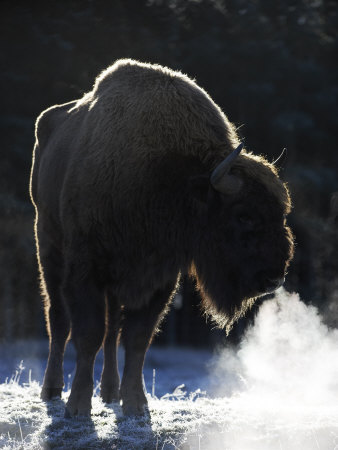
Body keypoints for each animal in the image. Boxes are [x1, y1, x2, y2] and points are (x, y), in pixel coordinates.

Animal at [29, 58, 294, 416]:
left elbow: (136, 339)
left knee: (112, 331)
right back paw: (52, 390)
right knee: (58, 320)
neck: (170, 178)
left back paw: (110, 392)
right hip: (49, 245)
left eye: (281, 214)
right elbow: (87, 334)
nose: (274, 278)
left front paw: (136, 404)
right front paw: (78, 405)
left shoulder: (159, 278)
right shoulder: (85, 270)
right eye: (244, 215)